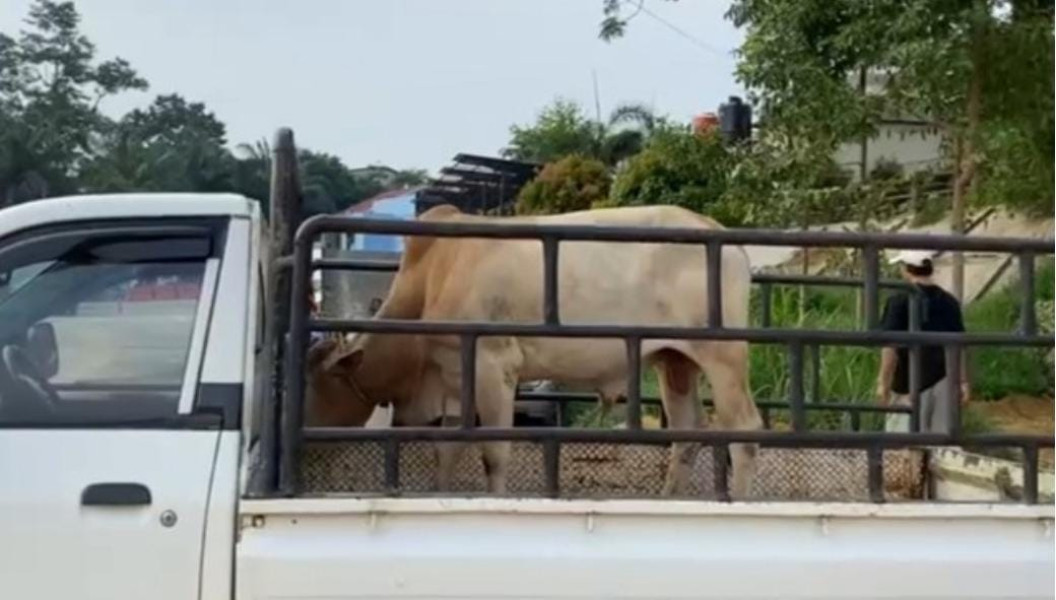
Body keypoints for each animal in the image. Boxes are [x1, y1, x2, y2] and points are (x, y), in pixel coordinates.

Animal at [308, 203, 764, 498]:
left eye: (314, 388)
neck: (433, 275)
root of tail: (723, 236)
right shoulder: (455, 379)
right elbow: (447, 451)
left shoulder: (494, 367)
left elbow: (493, 454)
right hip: (675, 362)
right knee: (686, 433)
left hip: (723, 357)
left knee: (744, 429)